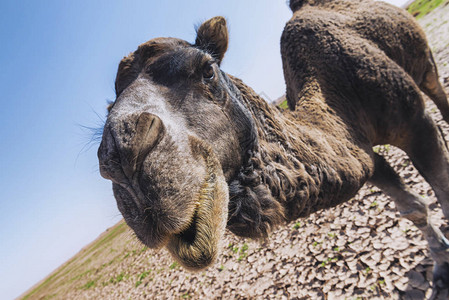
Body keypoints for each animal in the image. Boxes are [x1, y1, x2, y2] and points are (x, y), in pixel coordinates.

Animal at [97, 0, 448, 294]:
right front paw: (440, 262)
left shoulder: (415, 121)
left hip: (425, 66)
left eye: (207, 70)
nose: (121, 154)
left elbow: (441, 188)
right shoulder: (363, 152)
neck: (335, 95)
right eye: (109, 107)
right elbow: (412, 206)